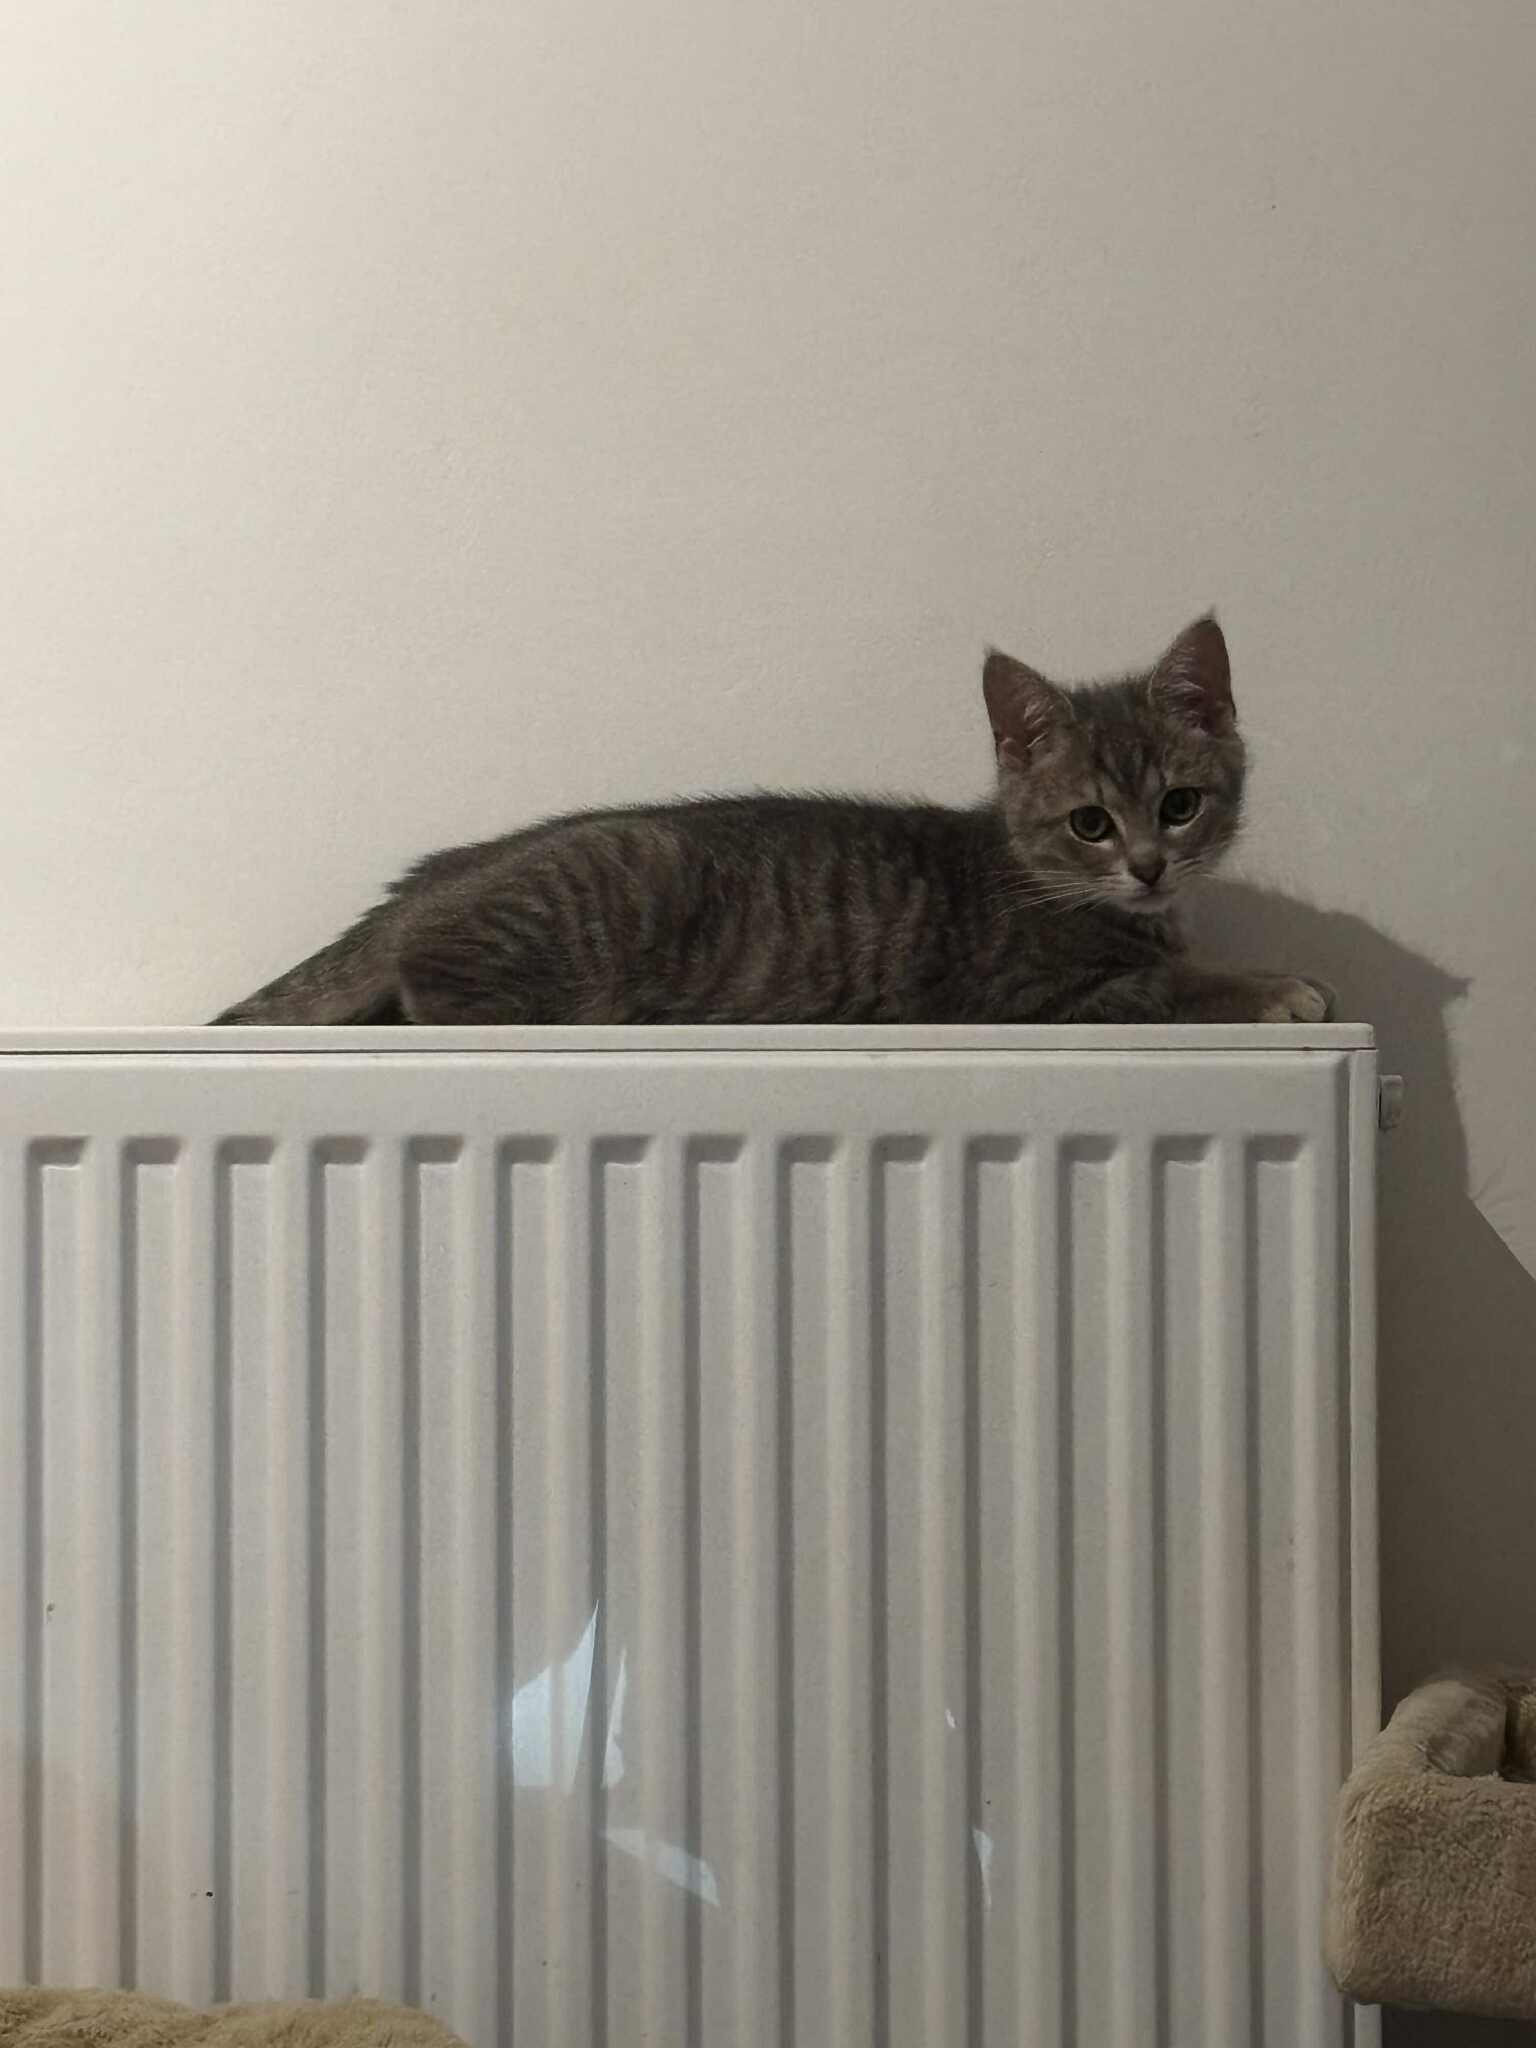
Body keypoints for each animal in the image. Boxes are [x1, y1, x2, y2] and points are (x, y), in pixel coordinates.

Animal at [212, 615, 1332, 1028]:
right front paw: (1274, 984)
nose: (1147, 866)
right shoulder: (1034, 995)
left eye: (1180, 805)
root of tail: (439, 874)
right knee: (432, 981)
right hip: (612, 880)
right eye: (1091, 822)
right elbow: (1175, 984)